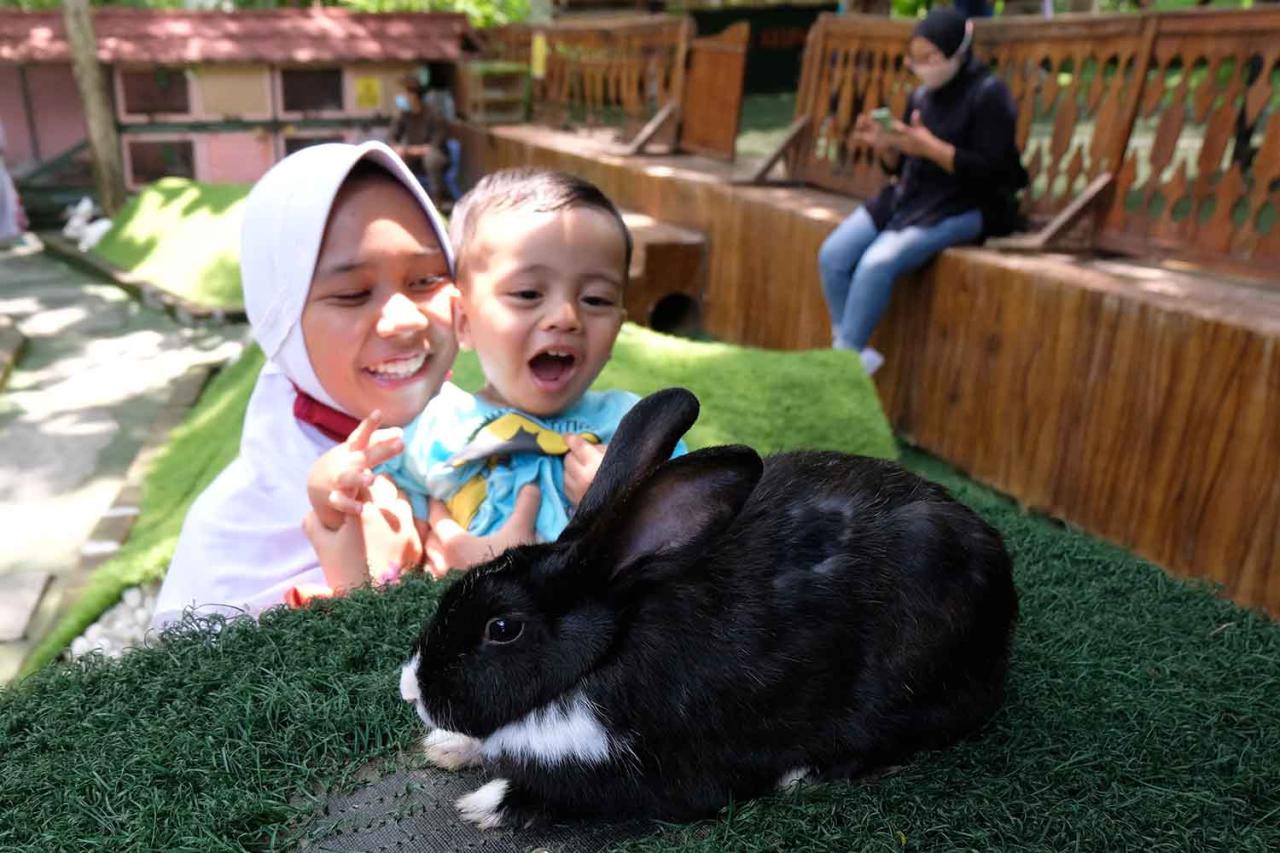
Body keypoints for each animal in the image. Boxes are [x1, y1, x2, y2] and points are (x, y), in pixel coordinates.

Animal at [399, 386, 1018, 824]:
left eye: (503, 628)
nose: (411, 689)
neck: (606, 649)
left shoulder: (659, 775)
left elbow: (568, 795)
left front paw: (483, 804)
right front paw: (448, 747)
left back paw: (801, 776)